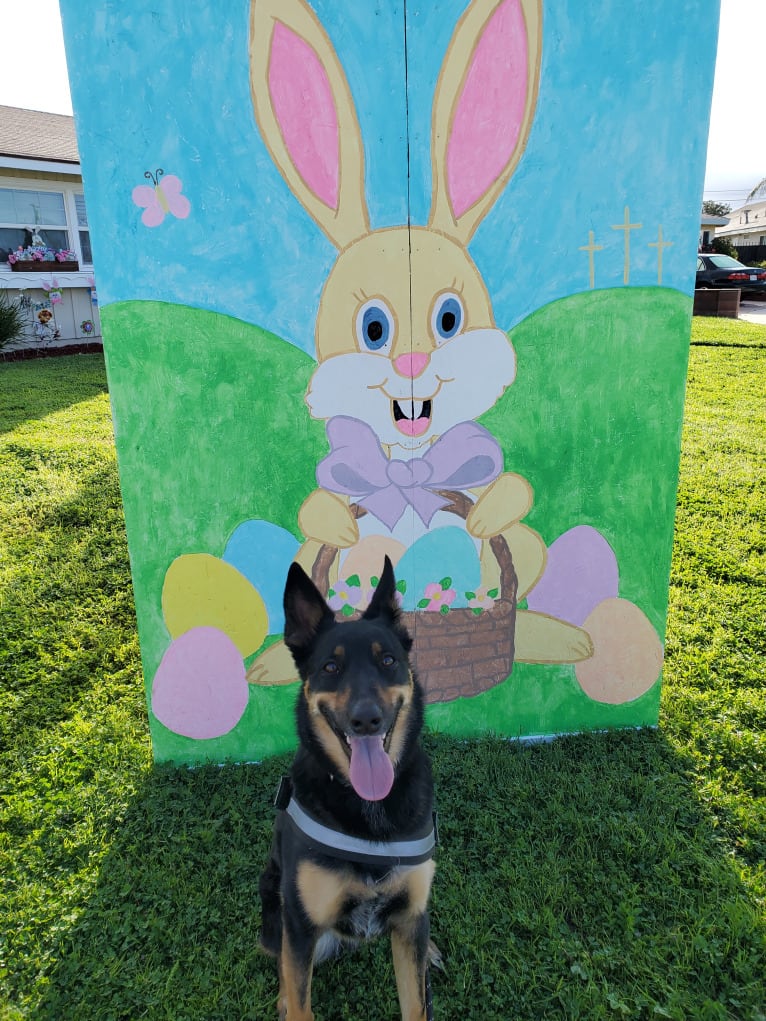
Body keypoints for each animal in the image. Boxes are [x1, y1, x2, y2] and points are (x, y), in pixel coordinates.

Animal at [258, 559, 437, 1021]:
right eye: (330, 668)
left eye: (388, 660)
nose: (366, 719)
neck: (368, 808)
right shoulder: (301, 925)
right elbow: (299, 997)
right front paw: (289, 1000)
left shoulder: (410, 916)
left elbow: (417, 1004)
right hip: (273, 904)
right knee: (279, 956)